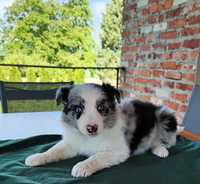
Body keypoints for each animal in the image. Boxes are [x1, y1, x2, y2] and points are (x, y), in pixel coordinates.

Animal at [25, 83, 178, 177]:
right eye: (78, 109)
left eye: (101, 108)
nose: (92, 128)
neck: (89, 138)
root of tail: (154, 106)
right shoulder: (72, 143)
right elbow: (53, 150)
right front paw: (37, 157)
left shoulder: (118, 151)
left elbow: (96, 157)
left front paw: (82, 167)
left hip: (166, 117)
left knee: (164, 141)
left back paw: (161, 150)